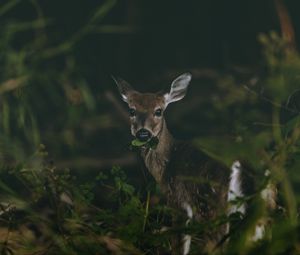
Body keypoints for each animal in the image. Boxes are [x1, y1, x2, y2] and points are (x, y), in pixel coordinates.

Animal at [113, 72, 276, 255]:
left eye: (158, 111)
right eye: (132, 110)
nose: (143, 133)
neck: (166, 165)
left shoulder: (177, 200)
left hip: (212, 205)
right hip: (267, 202)